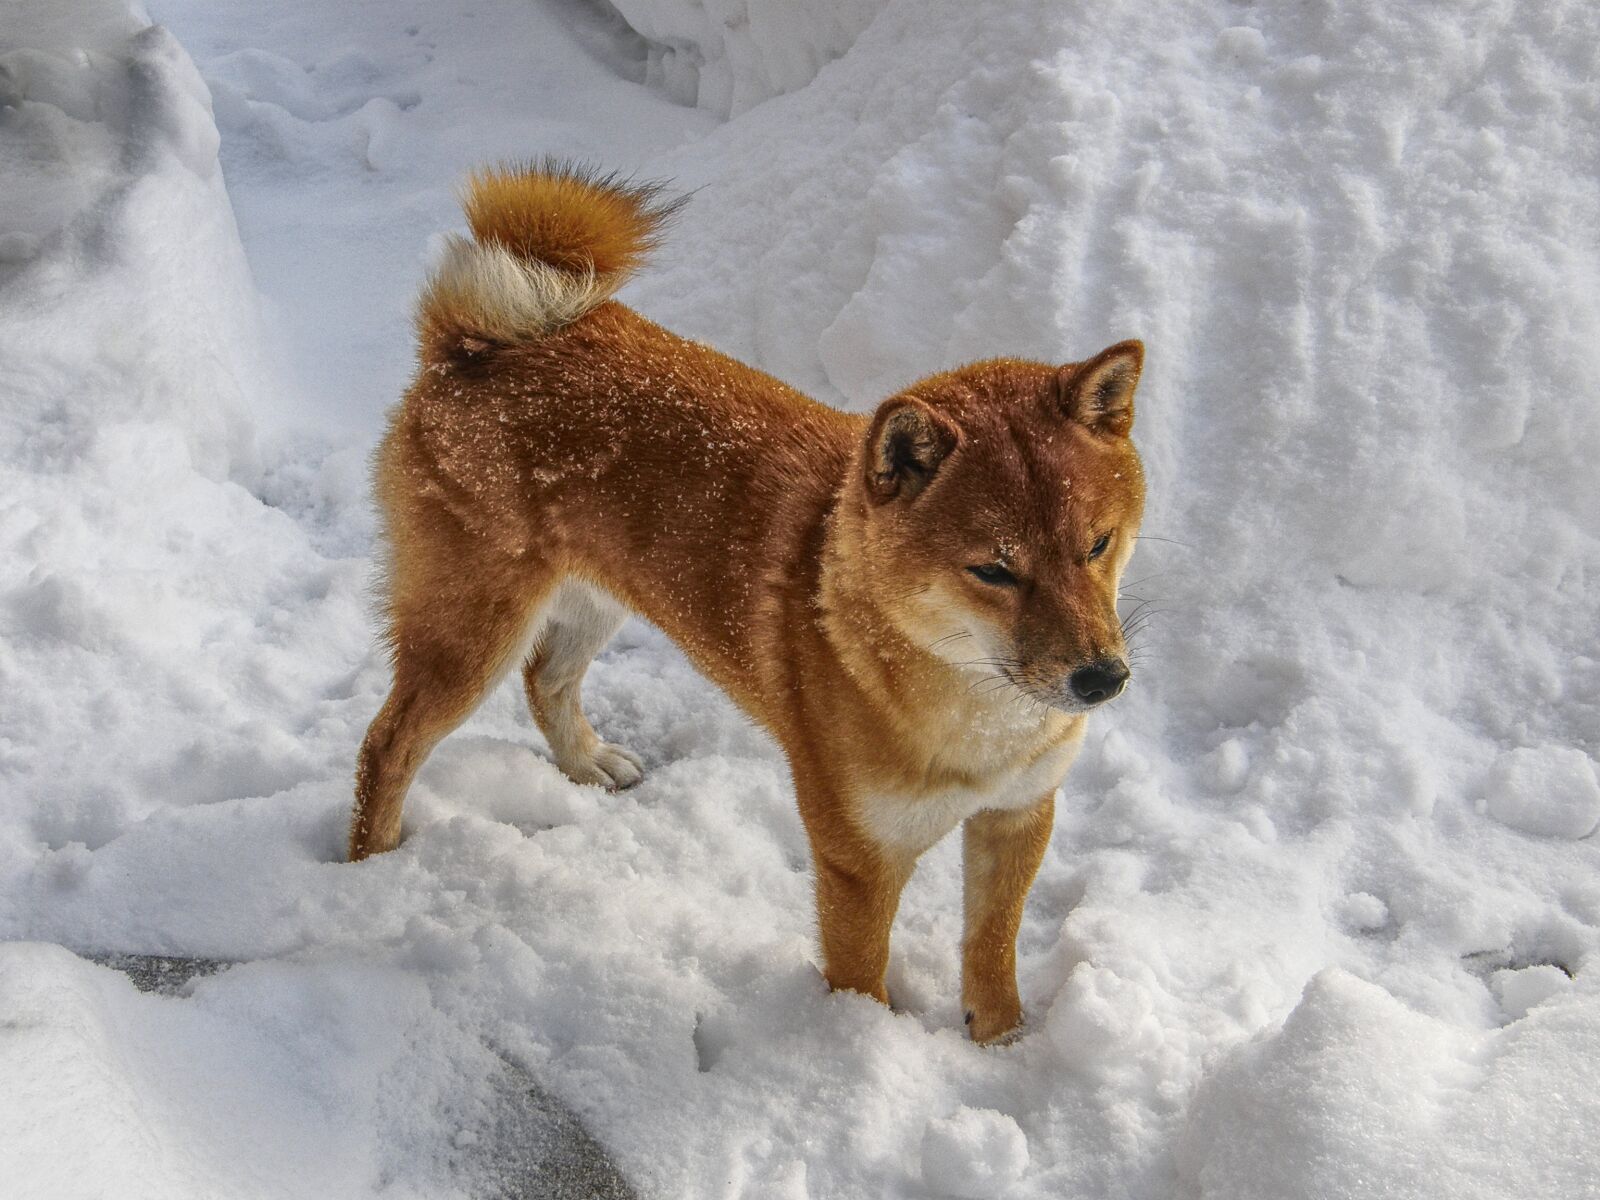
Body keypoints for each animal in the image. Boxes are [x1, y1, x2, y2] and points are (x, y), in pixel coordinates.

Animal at [355, 160, 1145, 1043]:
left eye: (1098, 545)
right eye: (995, 571)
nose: (1103, 679)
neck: (974, 711)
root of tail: (477, 342)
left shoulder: (1018, 815)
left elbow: (991, 947)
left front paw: (1000, 1041)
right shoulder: (859, 858)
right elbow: (861, 979)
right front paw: (856, 1047)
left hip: (594, 598)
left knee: (545, 682)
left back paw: (586, 763)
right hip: (471, 633)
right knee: (388, 746)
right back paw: (371, 867)